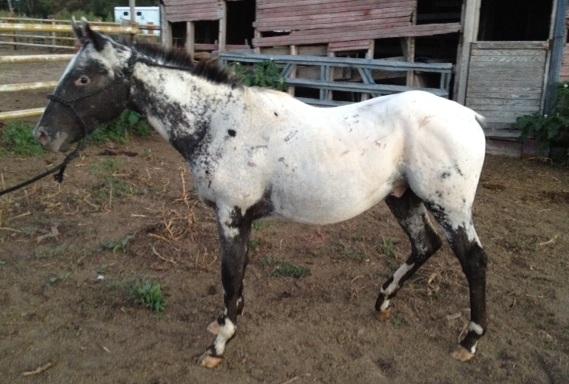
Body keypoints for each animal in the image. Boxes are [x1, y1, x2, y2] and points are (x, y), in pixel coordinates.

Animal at [34, 21, 488, 368]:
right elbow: (238, 277)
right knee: (424, 245)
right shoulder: (242, 218)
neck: (219, 122)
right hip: (402, 197)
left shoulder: (231, 216)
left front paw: (218, 346)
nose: (43, 135)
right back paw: (382, 301)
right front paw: (226, 322)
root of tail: (469, 116)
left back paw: (468, 341)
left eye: (83, 77)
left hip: (449, 206)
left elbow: (229, 275)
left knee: (473, 260)